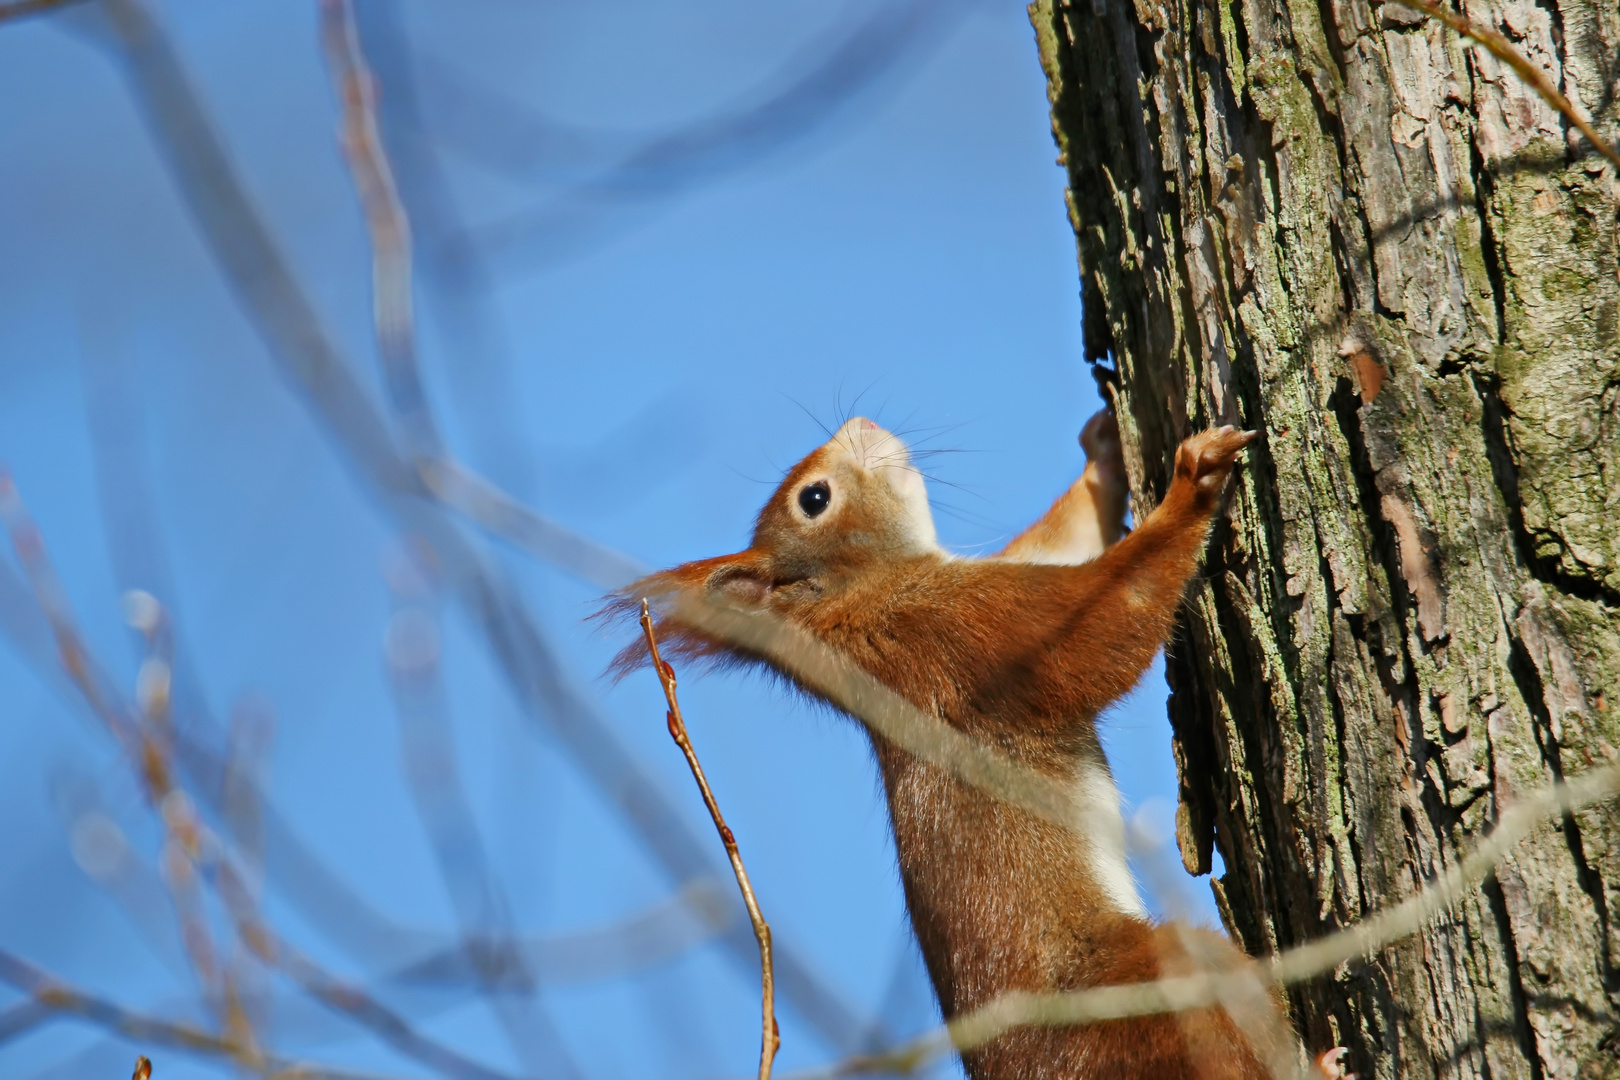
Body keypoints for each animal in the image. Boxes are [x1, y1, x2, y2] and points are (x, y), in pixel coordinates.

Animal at [612, 409, 1347, 1075]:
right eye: (814, 499)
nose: (860, 421)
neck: (860, 602)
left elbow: (1057, 541)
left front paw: (1103, 451)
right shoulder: (962, 636)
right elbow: (1105, 623)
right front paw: (1192, 484)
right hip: (1149, 992)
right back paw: (1317, 1063)